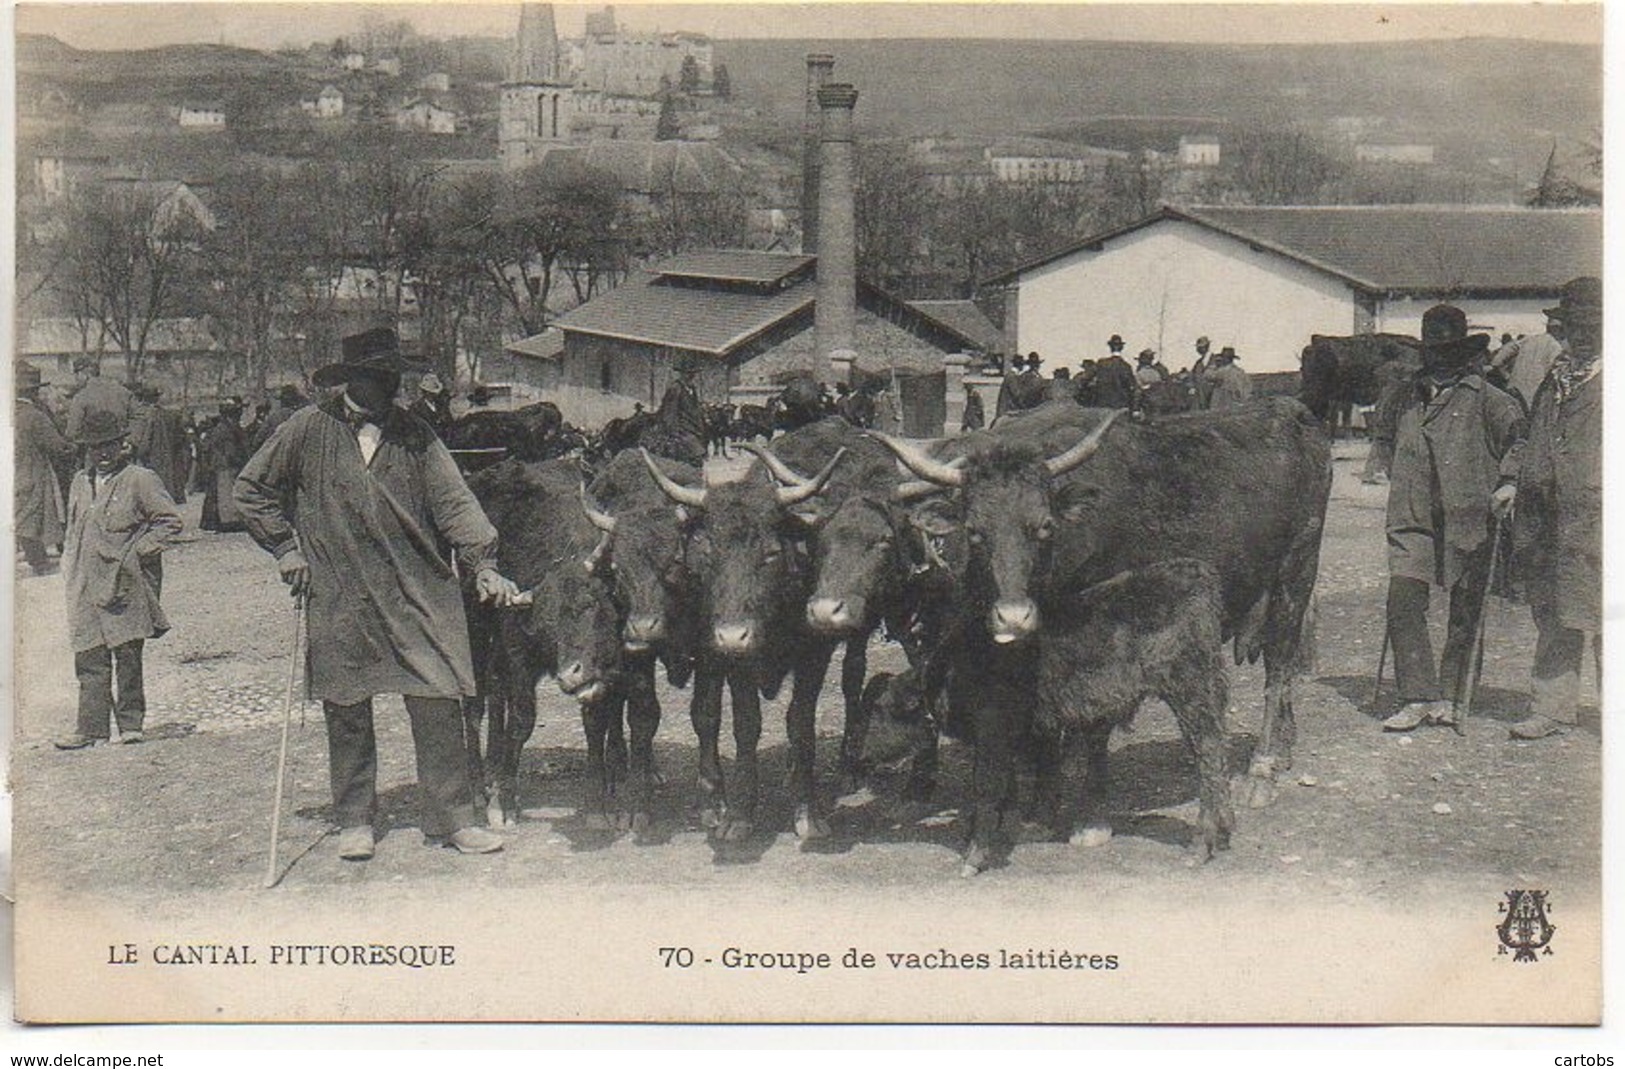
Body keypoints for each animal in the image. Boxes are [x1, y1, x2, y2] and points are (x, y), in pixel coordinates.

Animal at [464, 454, 633, 825]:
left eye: (589, 604)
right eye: (546, 625)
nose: (570, 674)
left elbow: (597, 720)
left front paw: (597, 803)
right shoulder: (518, 652)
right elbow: (523, 719)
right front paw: (505, 801)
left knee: (496, 692)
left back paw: (493, 765)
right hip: (476, 630)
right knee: (475, 703)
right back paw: (480, 788)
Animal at [877, 394, 1332, 870]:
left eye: (1045, 525)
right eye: (974, 530)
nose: (1013, 616)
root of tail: (1291, 410)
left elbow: (1094, 720)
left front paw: (1089, 818)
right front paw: (1039, 809)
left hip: (1295, 576)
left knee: (1278, 672)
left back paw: (1262, 771)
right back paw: (1282, 753)